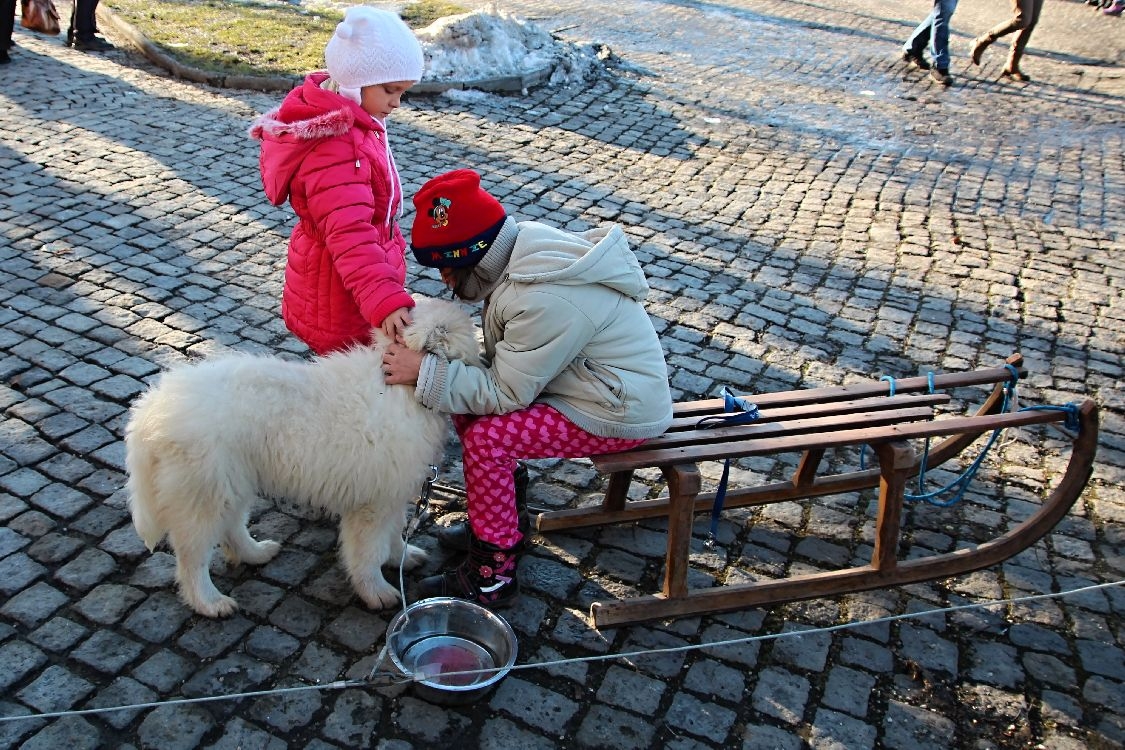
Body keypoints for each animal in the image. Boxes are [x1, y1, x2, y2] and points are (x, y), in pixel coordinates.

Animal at [124, 296, 479, 620]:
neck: (402, 388)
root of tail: (153, 408)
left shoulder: (391, 492)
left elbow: (394, 531)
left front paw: (402, 556)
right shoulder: (372, 503)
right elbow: (369, 551)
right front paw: (377, 591)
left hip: (232, 481)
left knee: (231, 527)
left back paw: (256, 553)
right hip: (204, 490)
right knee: (192, 557)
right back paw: (210, 602)